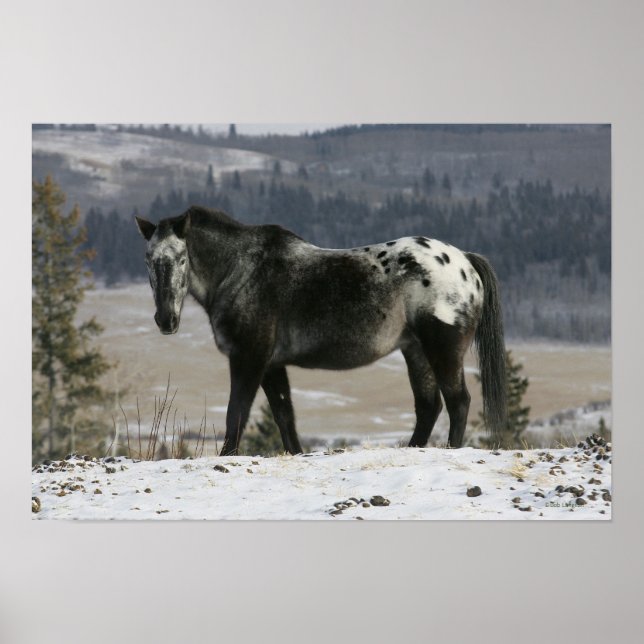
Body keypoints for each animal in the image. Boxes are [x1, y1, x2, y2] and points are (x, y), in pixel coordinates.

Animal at [135, 205, 507, 456]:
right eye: (148, 259)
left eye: (182, 259)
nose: (165, 319)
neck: (242, 270)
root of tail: (465, 261)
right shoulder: (271, 364)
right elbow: (284, 414)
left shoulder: (248, 358)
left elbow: (236, 413)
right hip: (415, 350)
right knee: (429, 406)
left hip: (443, 348)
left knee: (458, 401)